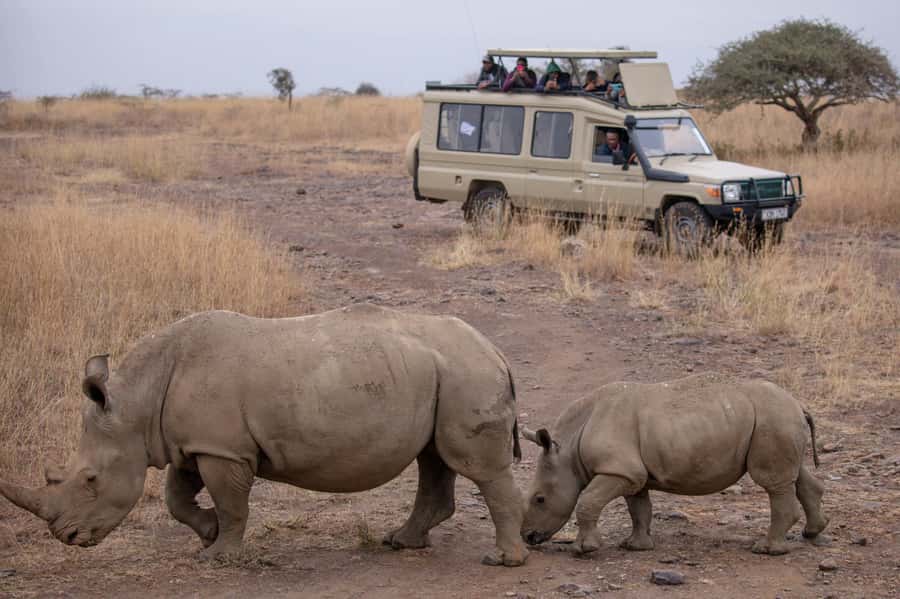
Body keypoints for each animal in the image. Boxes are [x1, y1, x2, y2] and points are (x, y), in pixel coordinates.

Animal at [0, 304, 528, 566]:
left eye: (90, 480)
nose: (66, 537)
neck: (137, 404)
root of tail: (496, 350)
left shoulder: (224, 451)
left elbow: (232, 504)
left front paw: (219, 558)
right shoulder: (196, 443)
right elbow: (176, 498)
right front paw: (207, 535)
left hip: (466, 373)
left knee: (475, 467)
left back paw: (502, 561)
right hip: (444, 373)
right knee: (434, 458)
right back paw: (401, 543)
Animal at [520, 374, 828, 556]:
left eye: (539, 499)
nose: (528, 537)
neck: (568, 450)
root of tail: (799, 404)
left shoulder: (618, 470)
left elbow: (587, 501)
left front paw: (584, 549)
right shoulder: (631, 474)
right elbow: (639, 509)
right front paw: (635, 546)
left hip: (772, 418)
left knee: (774, 482)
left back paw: (766, 550)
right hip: (778, 420)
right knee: (794, 476)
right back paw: (813, 532)